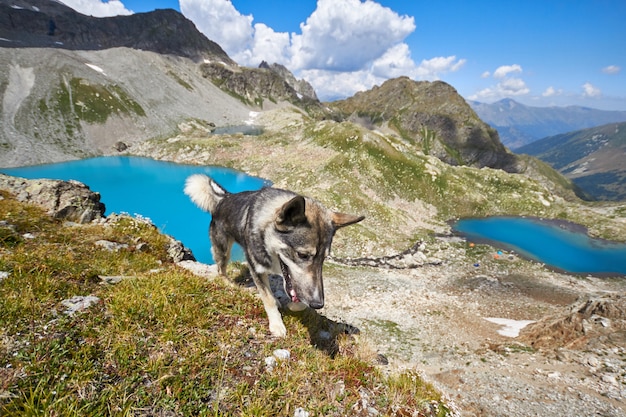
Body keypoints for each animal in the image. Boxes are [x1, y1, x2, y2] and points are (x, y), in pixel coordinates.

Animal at [183, 174, 364, 336]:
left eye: (324, 258)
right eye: (302, 255)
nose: (318, 303)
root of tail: (225, 198)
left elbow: (296, 296)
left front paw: (293, 306)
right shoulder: (256, 267)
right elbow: (268, 298)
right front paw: (277, 324)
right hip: (223, 249)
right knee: (221, 271)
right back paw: (232, 285)